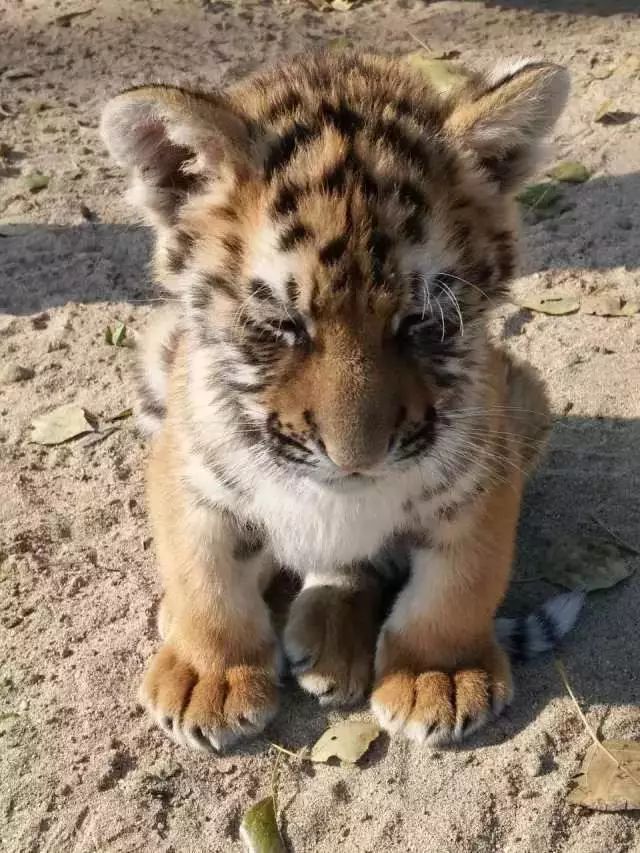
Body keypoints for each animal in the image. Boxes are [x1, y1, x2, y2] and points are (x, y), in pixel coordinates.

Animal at [102, 50, 576, 748]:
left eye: (423, 323)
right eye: (279, 325)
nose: (357, 459)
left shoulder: (485, 471)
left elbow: (459, 586)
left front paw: (439, 675)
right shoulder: (186, 467)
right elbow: (203, 575)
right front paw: (210, 677)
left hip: (530, 400)